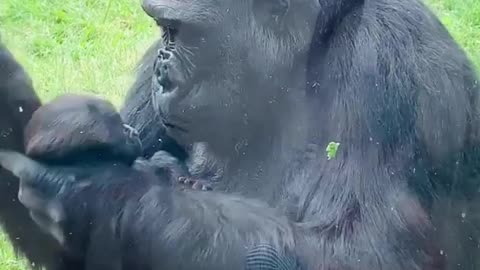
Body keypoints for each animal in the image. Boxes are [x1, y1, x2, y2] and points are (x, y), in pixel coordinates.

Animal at [121, 0, 480, 268]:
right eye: (164, 30)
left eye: (176, 31)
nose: (160, 72)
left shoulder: (387, 57)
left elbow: (359, 251)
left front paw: (137, 203)